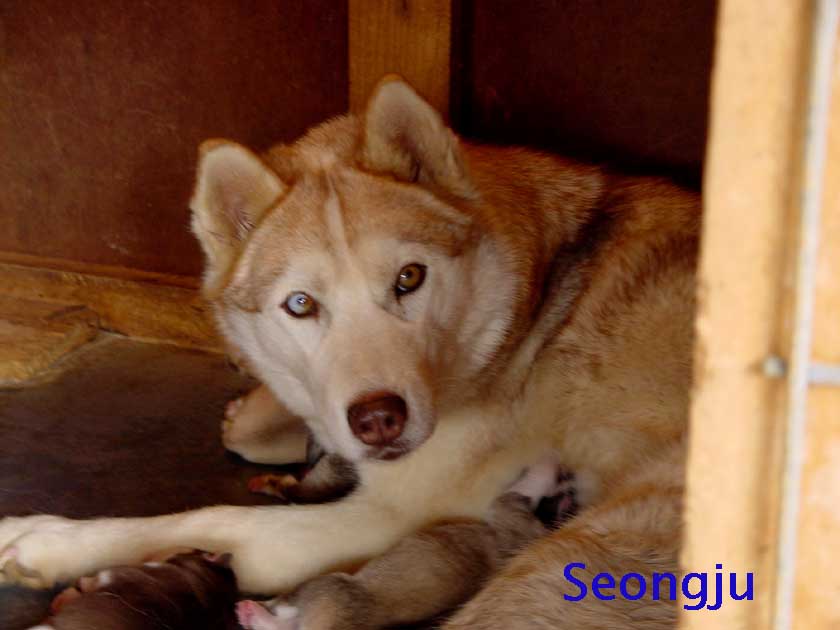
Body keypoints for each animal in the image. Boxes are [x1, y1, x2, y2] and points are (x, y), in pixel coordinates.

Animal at [0, 76, 698, 628]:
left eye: (410, 278)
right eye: (300, 304)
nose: (378, 420)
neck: (531, 306)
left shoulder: (385, 515)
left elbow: (205, 517)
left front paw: (46, 539)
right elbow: (267, 423)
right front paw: (262, 415)